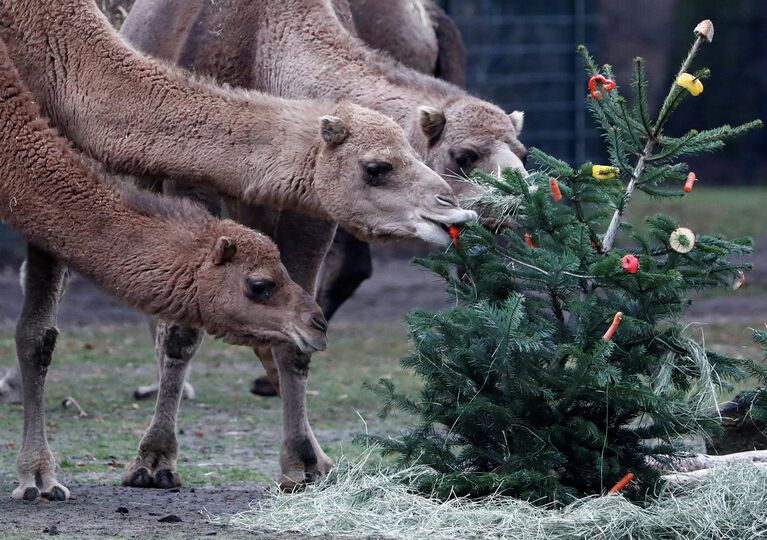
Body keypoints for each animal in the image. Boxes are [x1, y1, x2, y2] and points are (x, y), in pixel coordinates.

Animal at [121, 0, 528, 490]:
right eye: (464, 156)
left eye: (522, 153)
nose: (521, 197)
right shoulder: (190, 179)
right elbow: (182, 328)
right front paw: (154, 460)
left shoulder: (311, 208)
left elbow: (297, 328)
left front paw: (304, 462)